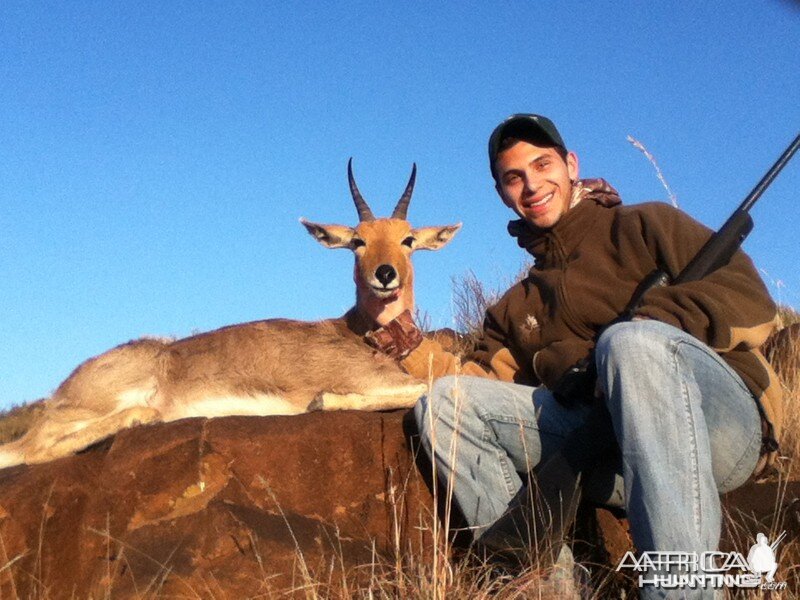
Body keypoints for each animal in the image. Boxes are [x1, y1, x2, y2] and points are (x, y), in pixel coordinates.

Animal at [0, 162, 462, 472]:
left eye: (408, 240)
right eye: (357, 241)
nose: (385, 274)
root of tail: (62, 391)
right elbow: (423, 387)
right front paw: (323, 400)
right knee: (32, 451)